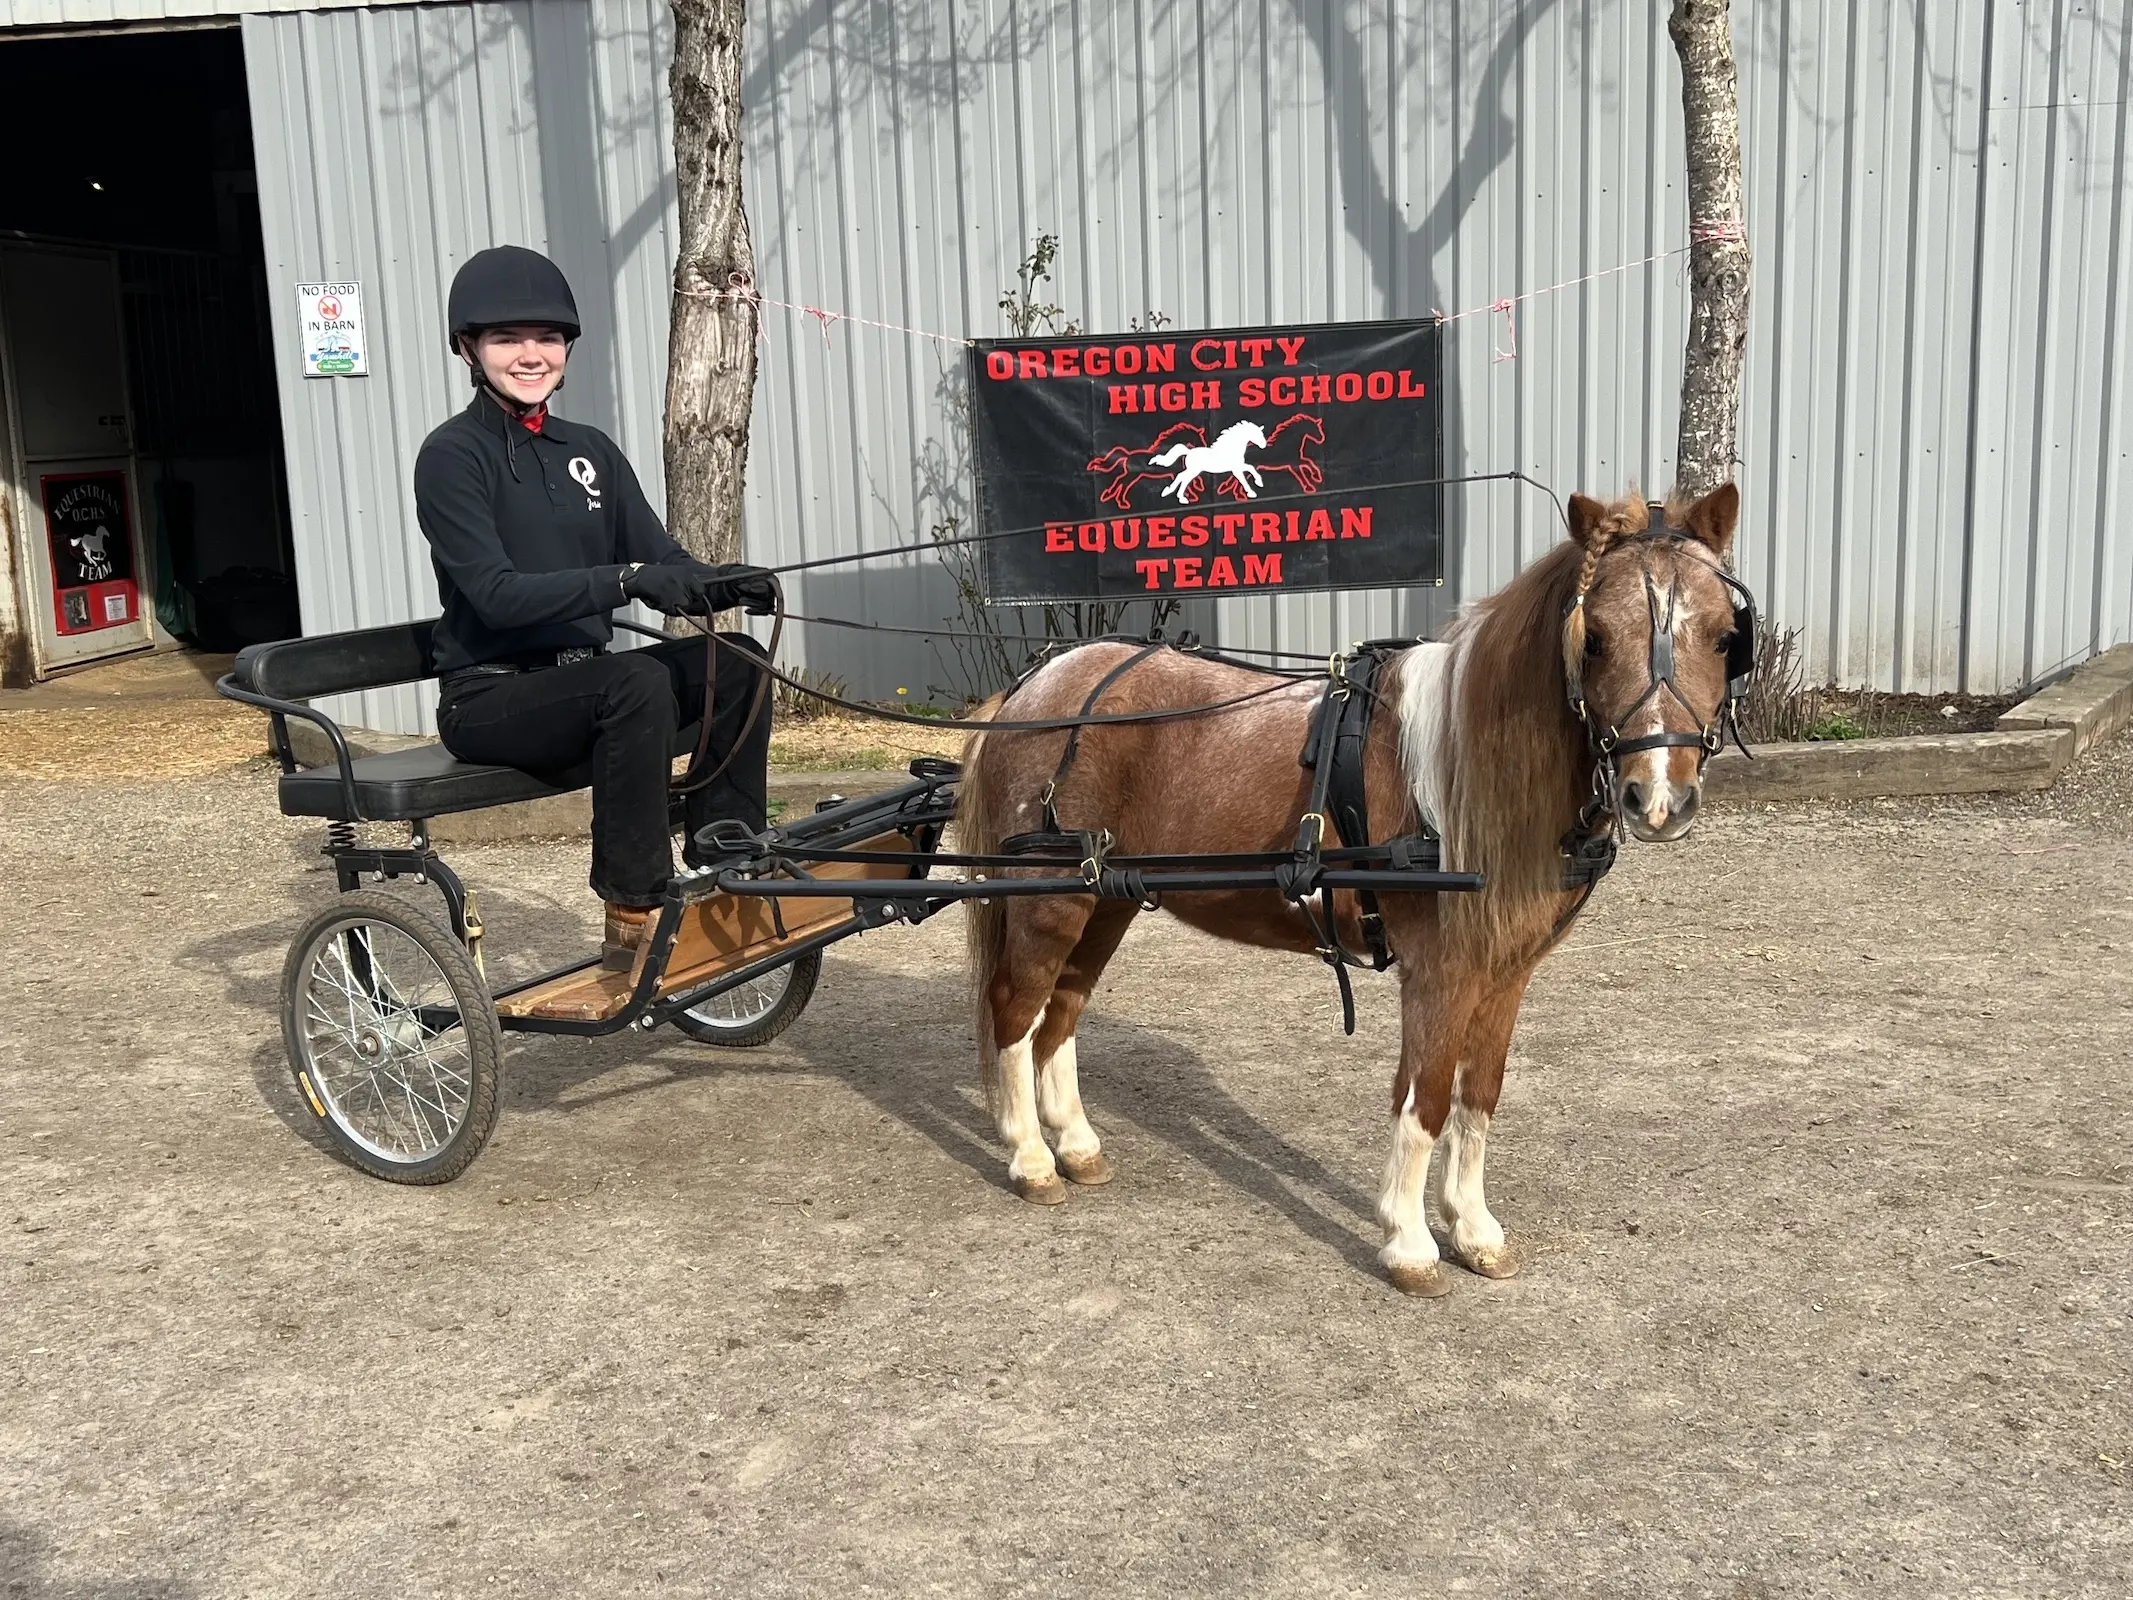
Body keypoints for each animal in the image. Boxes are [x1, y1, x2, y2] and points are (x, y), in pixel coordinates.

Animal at [959, 486, 1740, 1305]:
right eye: (1594, 639)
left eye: (1725, 636)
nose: (1659, 798)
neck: (1460, 777)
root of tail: (1036, 687)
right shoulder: (1441, 971)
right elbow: (1426, 1098)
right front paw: (1409, 1244)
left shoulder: (1505, 972)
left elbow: (1479, 1095)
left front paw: (1474, 1231)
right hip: (1047, 900)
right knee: (1016, 1012)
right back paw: (1031, 1159)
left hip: (1103, 898)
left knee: (1060, 1013)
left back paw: (1076, 1146)